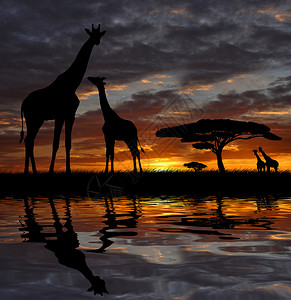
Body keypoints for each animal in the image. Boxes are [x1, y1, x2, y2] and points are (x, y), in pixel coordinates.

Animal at [20, 24, 107, 175]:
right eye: (91, 34)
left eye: (99, 34)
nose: (96, 42)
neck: (72, 84)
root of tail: (23, 104)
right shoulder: (60, 116)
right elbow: (55, 143)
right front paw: (50, 171)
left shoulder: (70, 116)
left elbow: (68, 143)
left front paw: (68, 170)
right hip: (33, 119)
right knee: (29, 141)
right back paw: (30, 171)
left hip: (37, 120)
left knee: (29, 141)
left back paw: (32, 171)